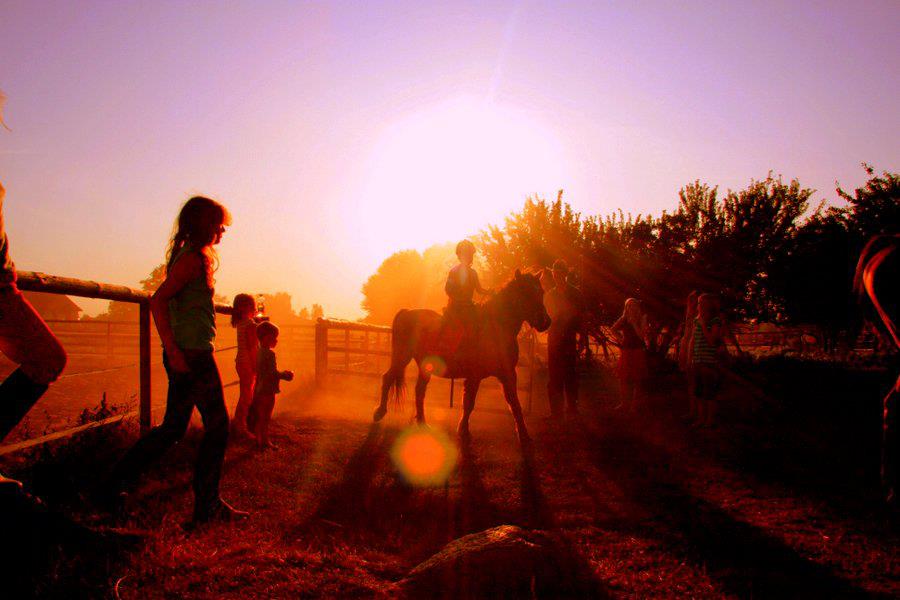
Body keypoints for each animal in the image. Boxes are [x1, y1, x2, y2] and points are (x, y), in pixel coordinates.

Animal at [370, 270, 548, 448]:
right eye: (526, 292)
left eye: (541, 292)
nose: (546, 322)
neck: (495, 327)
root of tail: (407, 312)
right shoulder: (475, 376)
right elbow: (469, 403)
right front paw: (463, 430)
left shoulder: (507, 374)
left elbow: (514, 404)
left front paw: (524, 436)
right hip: (402, 356)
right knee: (388, 378)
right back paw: (379, 412)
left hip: (423, 365)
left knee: (419, 390)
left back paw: (422, 423)